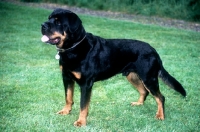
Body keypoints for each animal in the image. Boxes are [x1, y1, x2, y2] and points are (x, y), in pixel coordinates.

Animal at [40, 8, 186, 127]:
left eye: (58, 23)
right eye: (49, 18)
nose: (42, 25)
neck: (74, 48)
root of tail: (154, 51)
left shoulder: (86, 84)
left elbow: (83, 105)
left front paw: (81, 122)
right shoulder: (66, 77)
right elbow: (68, 97)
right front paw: (66, 111)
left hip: (149, 78)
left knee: (160, 97)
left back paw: (160, 115)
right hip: (132, 75)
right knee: (144, 91)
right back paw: (138, 104)